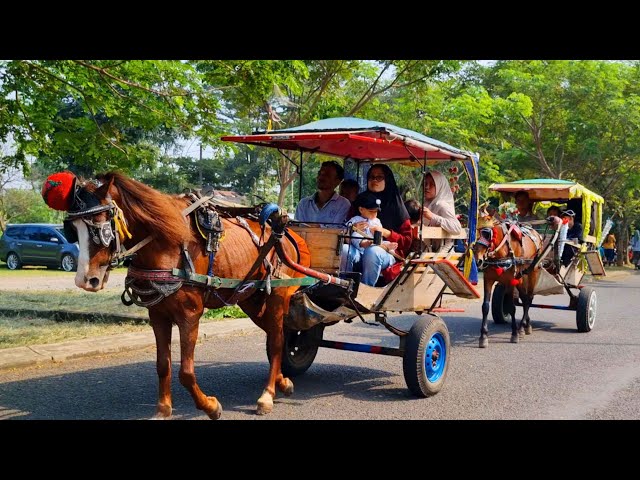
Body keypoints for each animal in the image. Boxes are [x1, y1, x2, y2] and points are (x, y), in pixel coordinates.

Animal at [58, 171, 312, 418]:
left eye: (100, 226)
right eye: (73, 230)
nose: (86, 279)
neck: (167, 244)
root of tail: (285, 232)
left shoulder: (189, 316)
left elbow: (186, 372)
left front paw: (210, 406)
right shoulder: (158, 315)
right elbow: (163, 365)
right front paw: (163, 409)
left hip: (277, 295)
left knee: (277, 342)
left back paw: (267, 395)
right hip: (251, 299)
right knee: (274, 335)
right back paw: (283, 382)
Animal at [470, 218, 544, 348]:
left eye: (488, 236)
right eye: (478, 235)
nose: (478, 260)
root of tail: (536, 233)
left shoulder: (511, 281)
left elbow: (511, 307)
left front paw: (514, 333)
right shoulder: (488, 280)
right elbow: (485, 307)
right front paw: (483, 336)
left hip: (533, 272)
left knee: (529, 298)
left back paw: (521, 328)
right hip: (521, 278)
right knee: (525, 298)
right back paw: (526, 326)